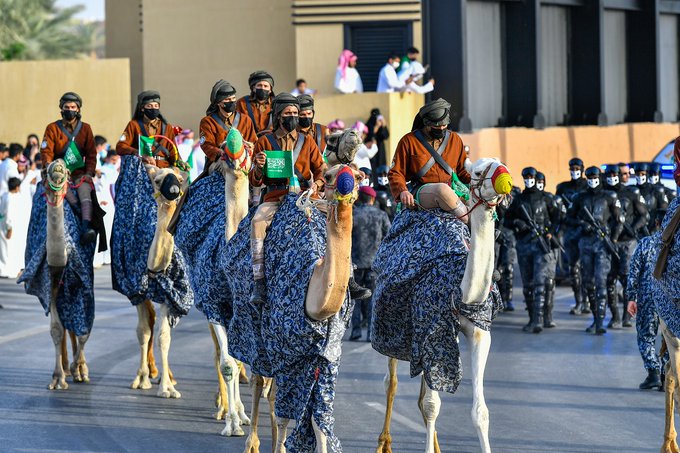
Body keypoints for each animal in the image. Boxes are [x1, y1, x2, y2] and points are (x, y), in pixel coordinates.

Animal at [374, 156, 512, 452]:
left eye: (501, 162)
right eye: (478, 172)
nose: (506, 181)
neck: (459, 289)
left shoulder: (479, 332)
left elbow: (480, 412)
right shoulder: (430, 332)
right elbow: (431, 405)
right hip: (391, 325)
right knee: (391, 383)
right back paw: (384, 443)